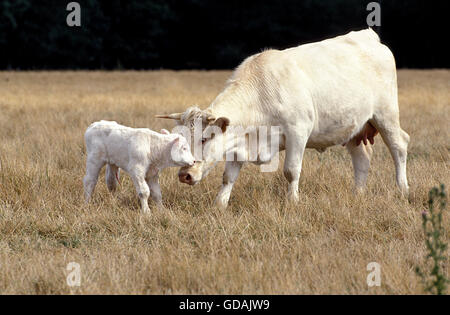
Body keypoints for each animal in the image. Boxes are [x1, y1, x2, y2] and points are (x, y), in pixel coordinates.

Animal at [158, 28, 412, 209]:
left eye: (204, 139)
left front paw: (293, 201)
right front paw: (219, 206)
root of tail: (368, 36)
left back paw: (403, 189)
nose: (184, 175)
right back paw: (357, 193)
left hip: (386, 114)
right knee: (362, 158)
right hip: (353, 127)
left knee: (399, 146)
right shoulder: (240, 142)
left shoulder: (298, 132)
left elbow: (291, 170)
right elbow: (228, 177)